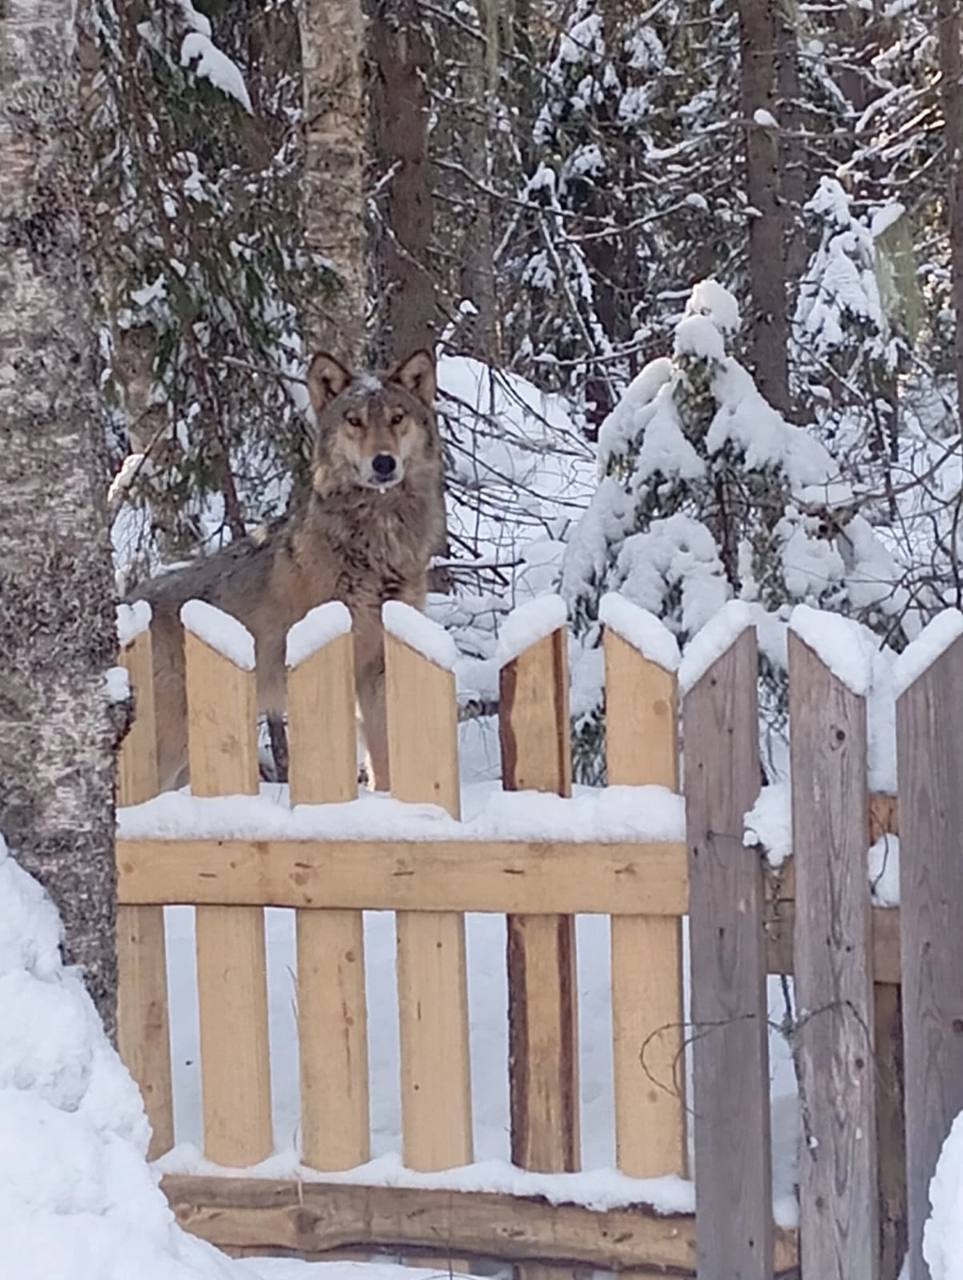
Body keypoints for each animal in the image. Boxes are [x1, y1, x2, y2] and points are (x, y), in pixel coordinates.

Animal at [129, 350, 445, 788]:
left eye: (397, 418)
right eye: (355, 421)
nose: (383, 463)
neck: (379, 543)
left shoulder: (378, 669)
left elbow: (384, 762)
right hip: (167, 750)